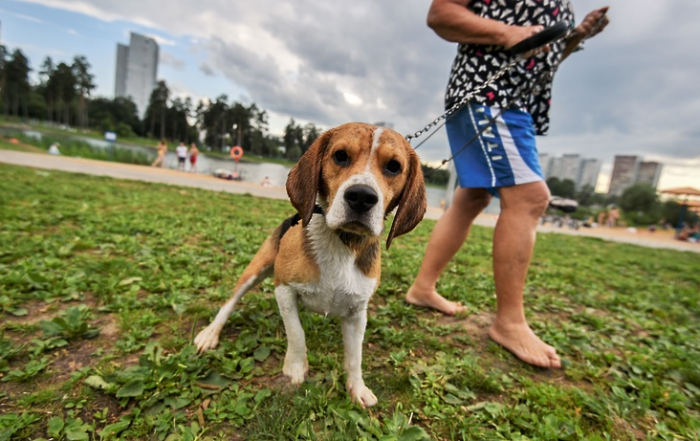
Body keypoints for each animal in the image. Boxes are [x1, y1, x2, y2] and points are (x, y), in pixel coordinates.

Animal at [194, 122, 430, 408]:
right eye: (340, 156)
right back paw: (210, 333)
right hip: (256, 270)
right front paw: (295, 368)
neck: (341, 241)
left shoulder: (357, 314)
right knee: (230, 302)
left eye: (394, 166)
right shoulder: (284, 289)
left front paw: (357, 388)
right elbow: (296, 333)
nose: (361, 197)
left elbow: (355, 357)